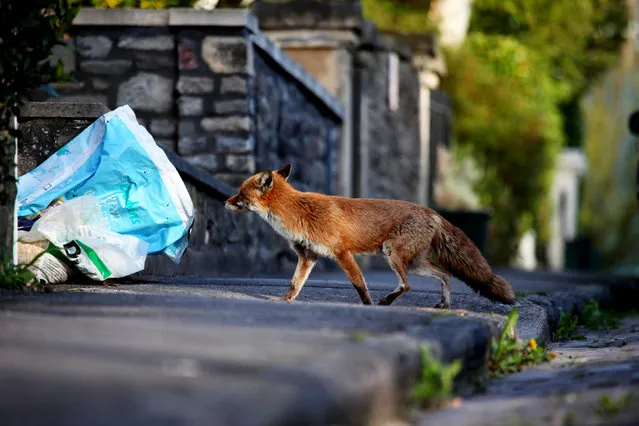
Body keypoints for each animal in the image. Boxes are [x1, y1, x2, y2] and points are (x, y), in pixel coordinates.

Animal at [225, 165, 516, 308]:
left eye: (240, 193)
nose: (225, 202)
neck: (299, 211)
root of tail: (431, 211)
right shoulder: (308, 256)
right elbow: (294, 284)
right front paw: (285, 301)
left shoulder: (342, 252)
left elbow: (360, 283)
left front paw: (366, 304)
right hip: (416, 263)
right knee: (445, 275)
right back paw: (444, 305)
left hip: (393, 254)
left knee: (407, 285)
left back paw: (387, 301)